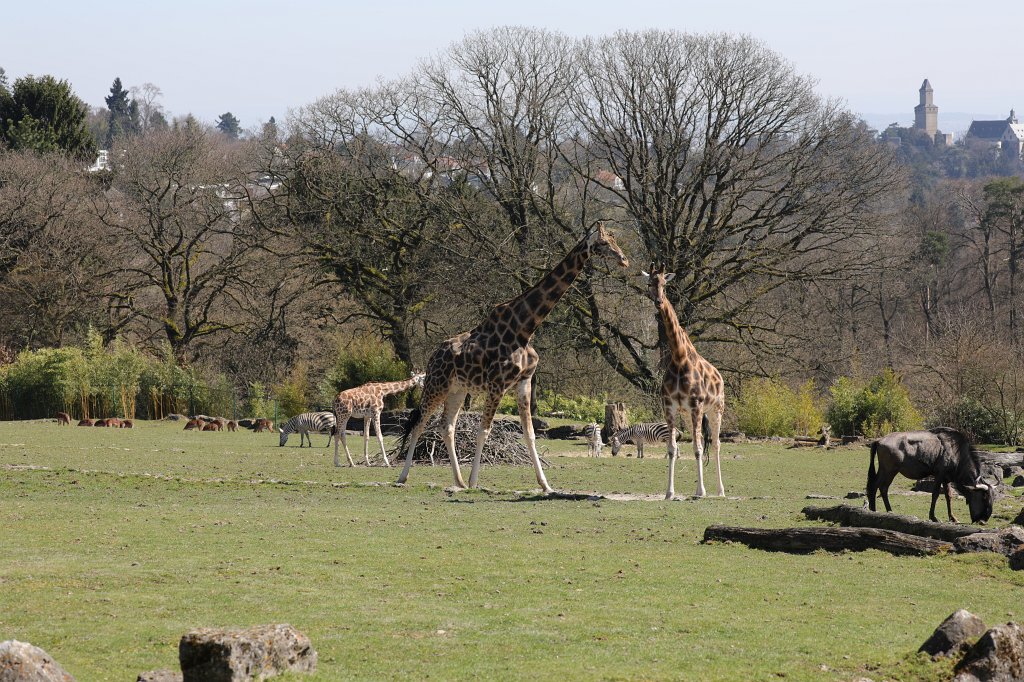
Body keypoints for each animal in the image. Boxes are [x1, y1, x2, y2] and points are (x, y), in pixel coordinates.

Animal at [397, 224, 630, 491]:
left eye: (615, 239)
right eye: (603, 243)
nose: (624, 260)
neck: (525, 329)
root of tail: (433, 355)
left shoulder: (524, 382)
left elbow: (530, 433)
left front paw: (546, 485)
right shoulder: (497, 384)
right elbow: (484, 430)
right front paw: (475, 481)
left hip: (457, 389)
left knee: (447, 426)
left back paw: (458, 481)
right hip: (437, 384)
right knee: (419, 423)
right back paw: (403, 477)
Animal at [642, 268, 726, 500]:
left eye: (664, 283)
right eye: (649, 284)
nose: (659, 301)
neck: (679, 358)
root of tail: (720, 376)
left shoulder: (696, 406)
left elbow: (698, 448)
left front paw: (701, 491)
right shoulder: (670, 407)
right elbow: (673, 448)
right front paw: (669, 492)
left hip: (716, 409)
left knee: (715, 444)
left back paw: (720, 490)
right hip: (689, 415)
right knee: (701, 442)